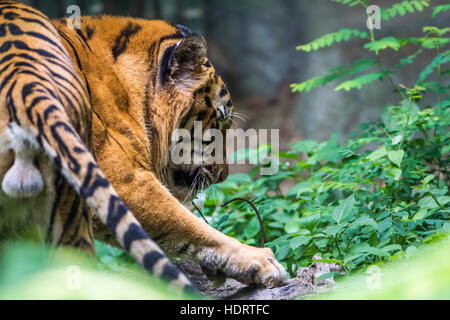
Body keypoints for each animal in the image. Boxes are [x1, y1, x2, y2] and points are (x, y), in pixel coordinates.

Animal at [0, 0, 284, 292]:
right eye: (219, 123)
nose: (223, 175)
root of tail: (24, 80)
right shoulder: (124, 180)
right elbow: (189, 225)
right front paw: (260, 261)